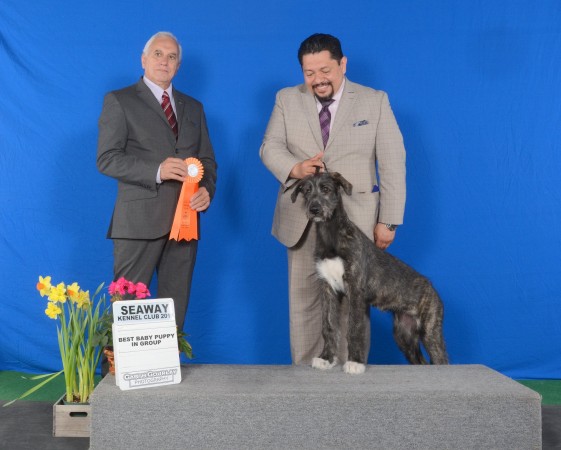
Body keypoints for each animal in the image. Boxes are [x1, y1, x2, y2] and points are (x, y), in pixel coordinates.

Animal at [290, 171, 448, 374]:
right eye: (307, 191)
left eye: (326, 189)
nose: (314, 209)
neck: (331, 234)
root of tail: (431, 288)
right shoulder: (327, 288)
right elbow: (328, 325)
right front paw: (326, 358)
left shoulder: (355, 289)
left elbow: (355, 328)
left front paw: (355, 362)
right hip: (404, 333)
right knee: (421, 361)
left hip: (430, 330)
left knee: (442, 359)